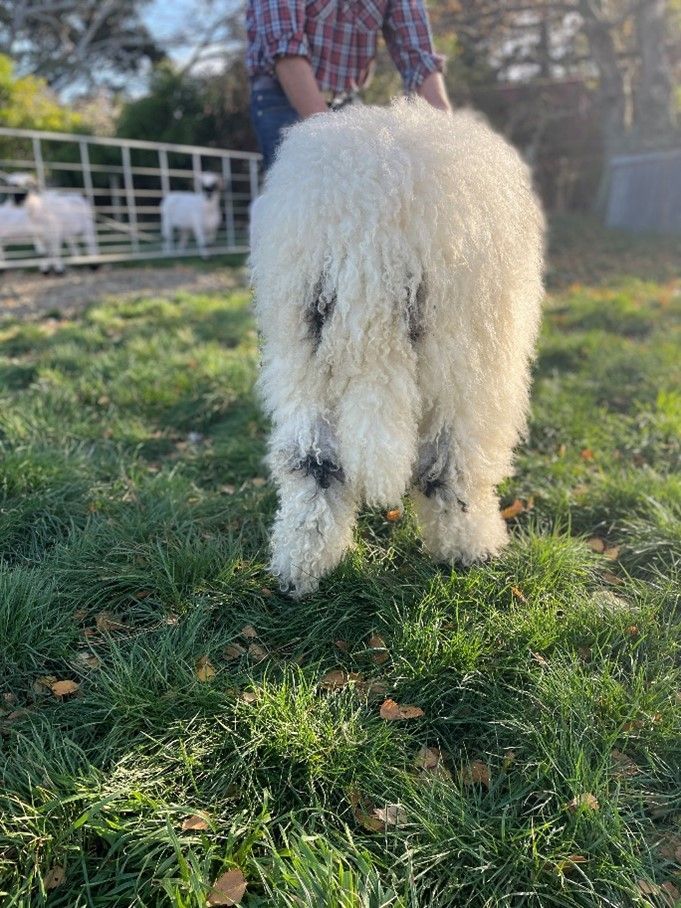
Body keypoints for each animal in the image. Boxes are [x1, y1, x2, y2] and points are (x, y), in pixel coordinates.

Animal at [251, 97, 548, 596]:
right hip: (465, 365)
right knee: (451, 466)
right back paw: (471, 549)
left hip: (301, 357)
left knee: (312, 462)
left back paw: (301, 566)